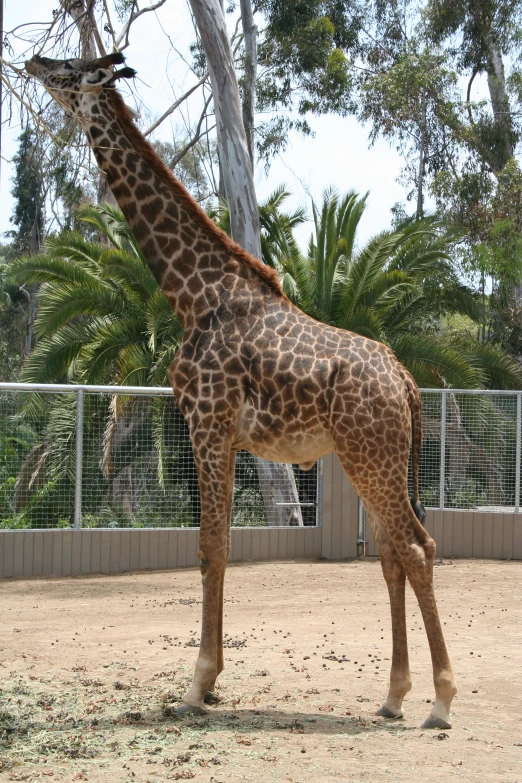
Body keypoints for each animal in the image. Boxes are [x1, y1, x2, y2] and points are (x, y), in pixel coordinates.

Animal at [24, 53, 456, 728]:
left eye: (69, 70)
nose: (32, 61)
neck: (191, 295)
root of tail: (408, 381)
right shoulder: (226, 435)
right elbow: (220, 544)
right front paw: (211, 682)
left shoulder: (207, 420)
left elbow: (209, 547)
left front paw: (197, 684)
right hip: (368, 457)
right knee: (392, 554)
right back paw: (392, 696)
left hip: (374, 455)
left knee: (417, 547)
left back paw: (439, 700)